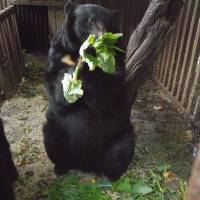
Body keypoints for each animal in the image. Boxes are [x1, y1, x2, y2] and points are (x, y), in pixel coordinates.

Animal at [43, 0, 135, 180]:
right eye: (90, 21)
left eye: (109, 23)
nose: (101, 38)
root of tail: (85, 165)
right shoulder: (59, 57)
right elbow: (56, 92)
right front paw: (72, 78)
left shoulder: (117, 64)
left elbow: (107, 95)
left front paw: (89, 59)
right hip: (54, 130)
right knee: (51, 138)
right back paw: (60, 168)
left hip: (121, 134)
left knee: (121, 152)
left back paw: (112, 175)